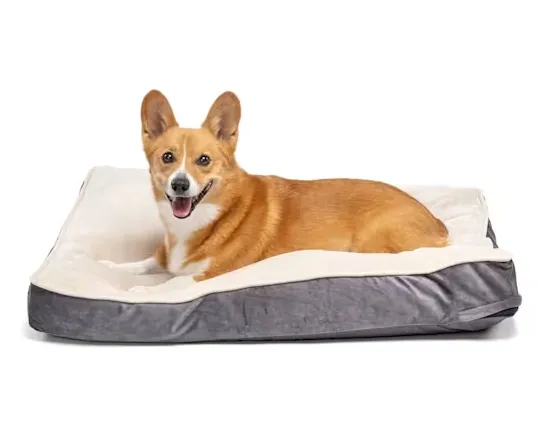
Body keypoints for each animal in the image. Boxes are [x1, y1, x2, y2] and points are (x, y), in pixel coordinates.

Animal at [103, 90, 448, 285]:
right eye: (168, 157)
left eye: (204, 160)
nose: (179, 184)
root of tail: (438, 223)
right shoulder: (162, 258)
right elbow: (146, 263)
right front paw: (110, 266)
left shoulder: (205, 276)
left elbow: (170, 285)